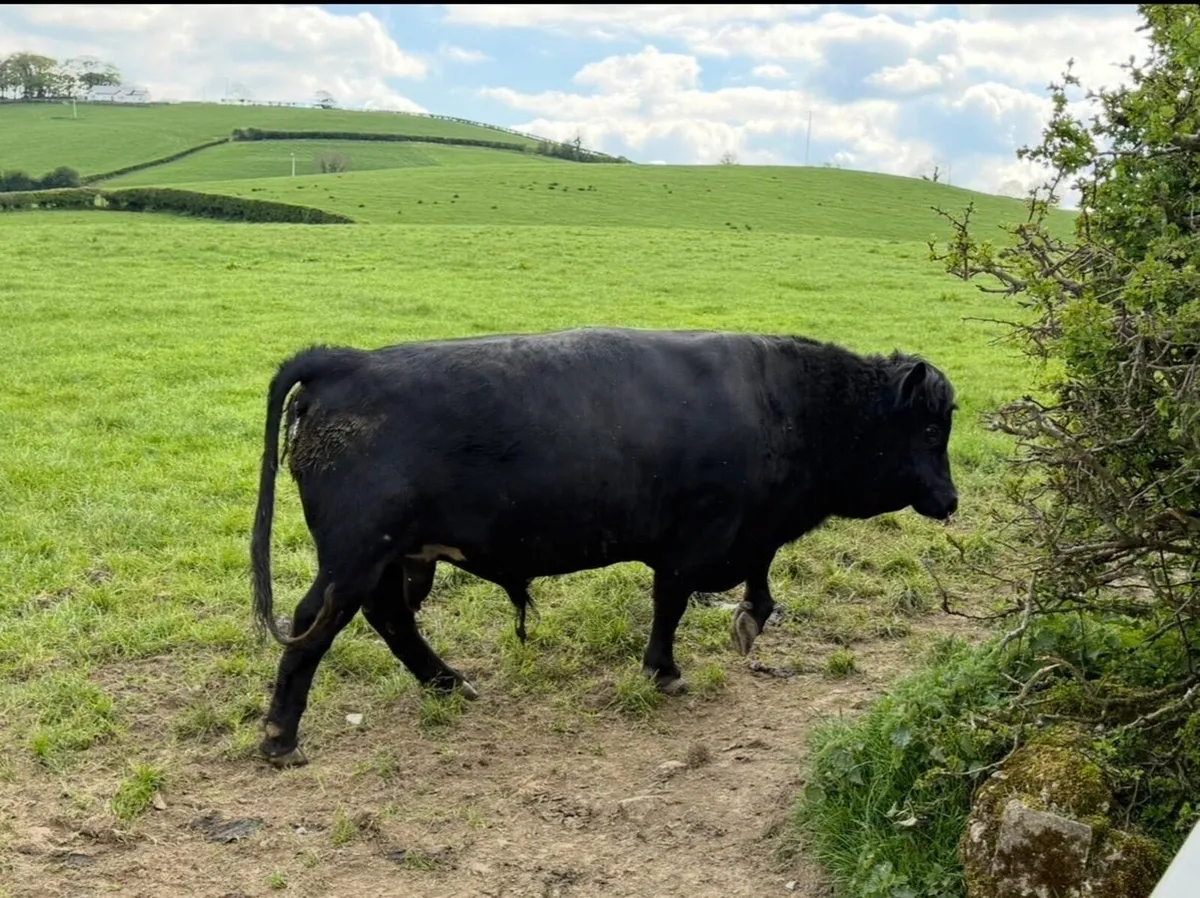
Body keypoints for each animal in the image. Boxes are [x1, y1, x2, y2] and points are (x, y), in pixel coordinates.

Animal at [250, 326, 958, 767]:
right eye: (929, 428)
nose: (951, 499)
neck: (782, 402)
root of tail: (346, 361)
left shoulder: (746, 531)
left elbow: (758, 580)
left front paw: (747, 621)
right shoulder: (696, 537)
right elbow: (672, 601)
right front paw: (665, 670)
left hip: (389, 557)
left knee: (387, 616)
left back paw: (448, 682)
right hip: (354, 556)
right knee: (316, 624)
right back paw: (281, 736)